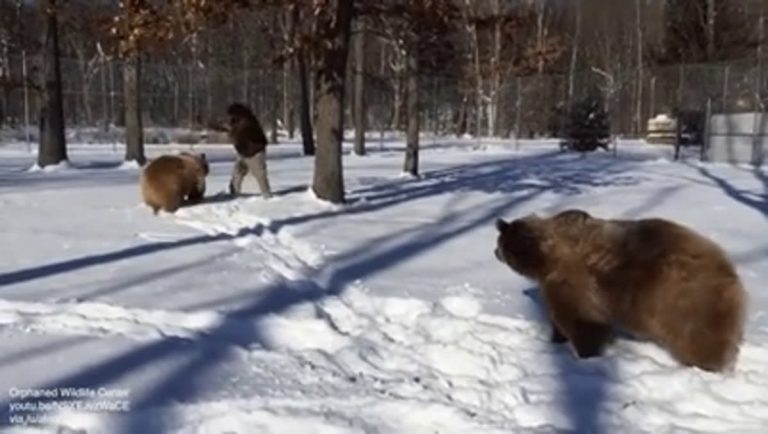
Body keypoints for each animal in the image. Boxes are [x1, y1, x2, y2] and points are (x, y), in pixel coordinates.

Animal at [494, 209, 747, 372]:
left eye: (500, 243)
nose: (495, 252)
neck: (543, 257)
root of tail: (731, 274)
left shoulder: (573, 279)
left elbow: (581, 321)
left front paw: (586, 354)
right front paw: (557, 340)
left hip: (686, 300)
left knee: (700, 340)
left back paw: (705, 366)